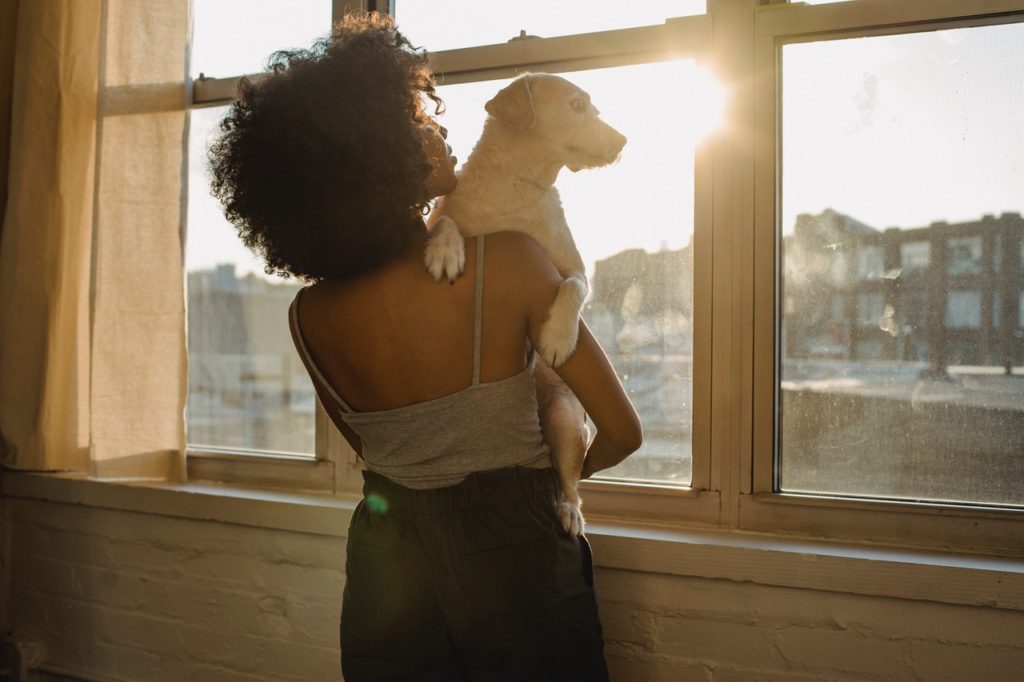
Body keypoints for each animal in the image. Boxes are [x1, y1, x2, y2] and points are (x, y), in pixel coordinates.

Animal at [421, 73, 622, 532]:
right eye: (578, 105)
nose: (624, 139)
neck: (517, 184)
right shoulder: (445, 213)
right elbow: (444, 221)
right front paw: (445, 250)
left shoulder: (575, 268)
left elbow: (573, 288)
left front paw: (558, 340)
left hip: (567, 423)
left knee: (569, 483)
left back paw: (568, 510)